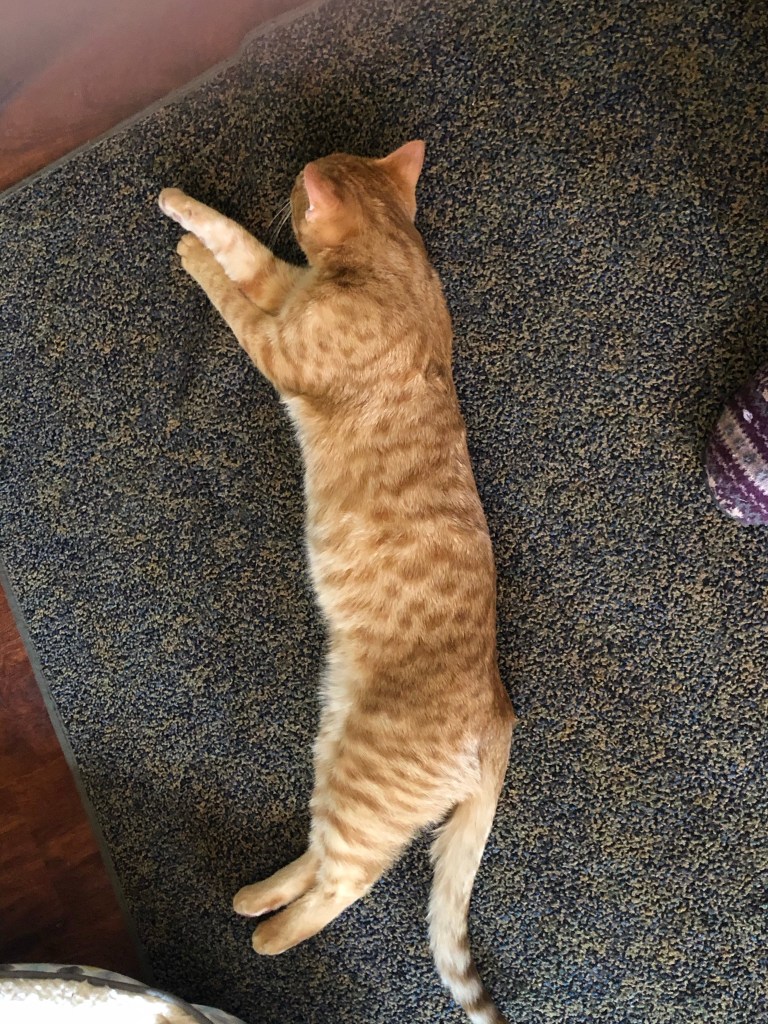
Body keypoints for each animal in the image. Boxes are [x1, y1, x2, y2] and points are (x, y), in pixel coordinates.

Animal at [158, 140, 516, 1024]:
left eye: (296, 188)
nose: (290, 184)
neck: (393, 266)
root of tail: (502, 709)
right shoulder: (283, 284)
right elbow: (236, 239)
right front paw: (183, 208)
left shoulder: (280, 341)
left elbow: (227, 286)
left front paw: (189, 253)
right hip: (336, 753)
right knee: (323, 856)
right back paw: (255, 894)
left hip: (361, 780)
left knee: (346, 882)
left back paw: (266, 934)